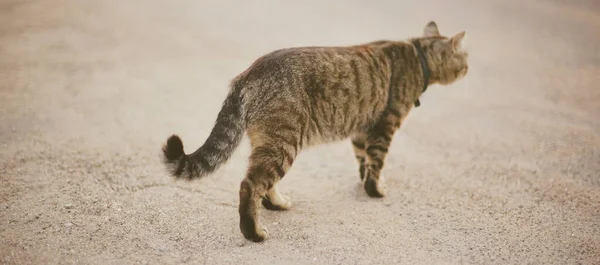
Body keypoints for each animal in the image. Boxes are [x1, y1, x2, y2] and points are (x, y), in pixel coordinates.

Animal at [163, 21, 468, 240]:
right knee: (250, 186)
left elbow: (363, 159)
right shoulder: (385, 126)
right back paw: (254, 233)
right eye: (465, 57)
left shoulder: (362, 129)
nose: (468, 67)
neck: (418, 55)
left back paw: (276, 203)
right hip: (284, 143)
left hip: (268, 143)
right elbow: (377, 162)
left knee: (263, 184)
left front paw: (364, 180)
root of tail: (247, 73)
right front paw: (375, 189)